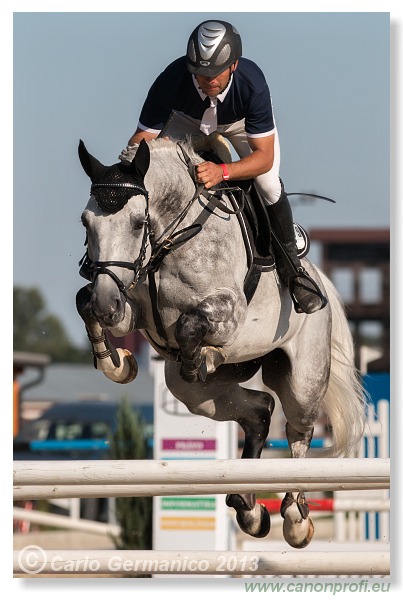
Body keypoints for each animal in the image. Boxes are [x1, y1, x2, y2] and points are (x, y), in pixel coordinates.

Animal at [76, 136, 366, 548]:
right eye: (86, 222)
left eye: (137, 223)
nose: (107, 305)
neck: (171, 240)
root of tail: (318, 278)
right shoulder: (128, 304)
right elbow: (83, 303)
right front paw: (116, 364)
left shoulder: (228, 310)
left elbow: (189, 325)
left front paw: (204, 355)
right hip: (192, 394)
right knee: (259, 410)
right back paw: (249, 508)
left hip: (304, 377)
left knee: (299, 431)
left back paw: (295, 518)